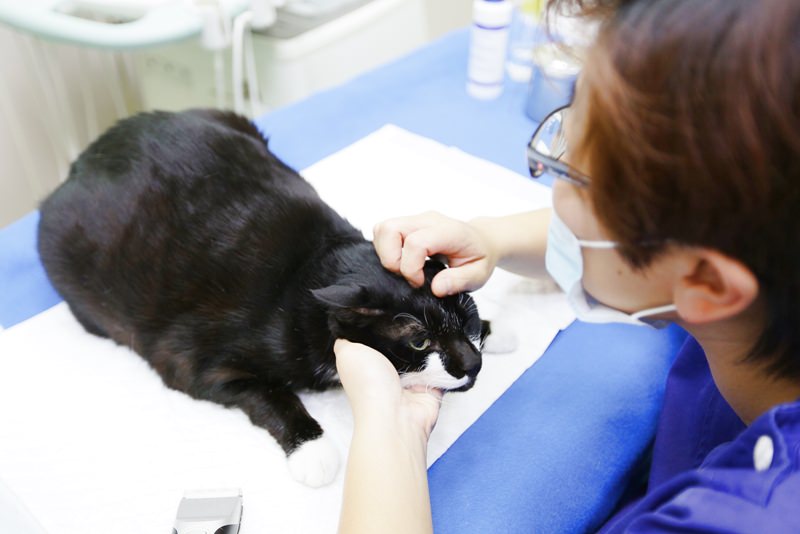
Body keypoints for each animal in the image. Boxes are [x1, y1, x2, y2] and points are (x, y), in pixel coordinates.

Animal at [39, 109, 488, 490]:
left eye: (467, 314)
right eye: (419, 341)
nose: (473, 363)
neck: (309, 269)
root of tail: (83, 160)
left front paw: (493, 327)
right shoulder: (194, 365)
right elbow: (269, 394)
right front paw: (312, 449)